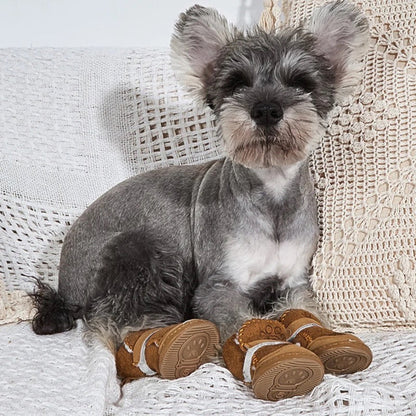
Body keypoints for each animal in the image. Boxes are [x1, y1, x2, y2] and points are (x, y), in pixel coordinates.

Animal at [31, 0, 368, 354]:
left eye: (302, 83)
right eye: (236, 84)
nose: (266, 110)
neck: (272, 195)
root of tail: (64, 285)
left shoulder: (294, 283)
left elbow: (308, 311)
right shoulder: (218, 286)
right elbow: (240, 322)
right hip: (142, 252)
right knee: (118, 320)